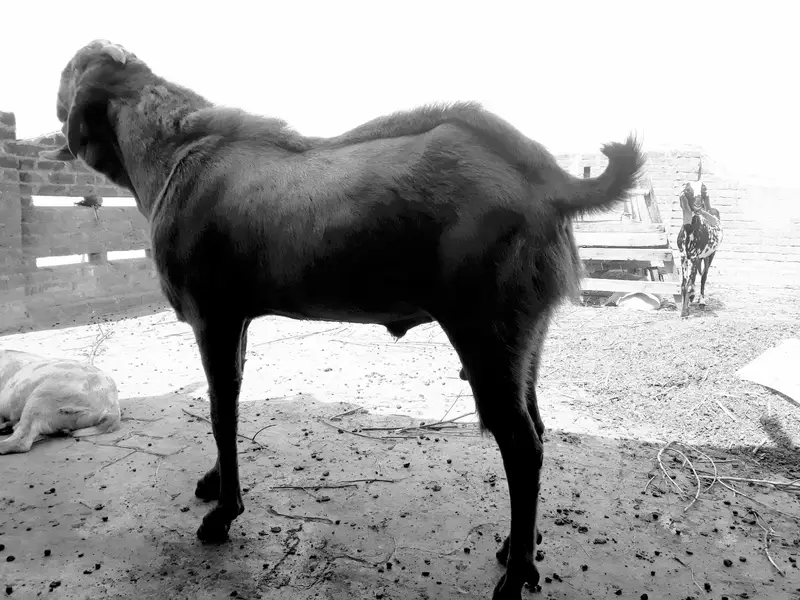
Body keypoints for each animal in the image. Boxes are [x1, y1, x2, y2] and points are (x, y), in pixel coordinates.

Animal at [42, 39, 644, 599]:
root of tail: (551, 183)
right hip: (526, 333)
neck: (175, 151)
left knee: (521, 444)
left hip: (486, 328)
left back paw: (516, 574)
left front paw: (224, 513)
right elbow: (226, 401)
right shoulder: (237, 319)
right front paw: (215, 483)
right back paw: (518, 548)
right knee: (536, 427)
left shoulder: (212, 315)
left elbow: (220, 411)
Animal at [676, 178, 722, 318]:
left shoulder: (695, 256)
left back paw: (701, 301)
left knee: (703, 277)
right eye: (688, 190)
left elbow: (690, 282)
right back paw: (692, 296)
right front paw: (685, 307)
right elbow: (684, 284)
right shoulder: (683, 257)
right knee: (696, 277)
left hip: (709, 255)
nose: (698, 206)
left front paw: (684, 311)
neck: (691, 231)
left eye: (703, 190)